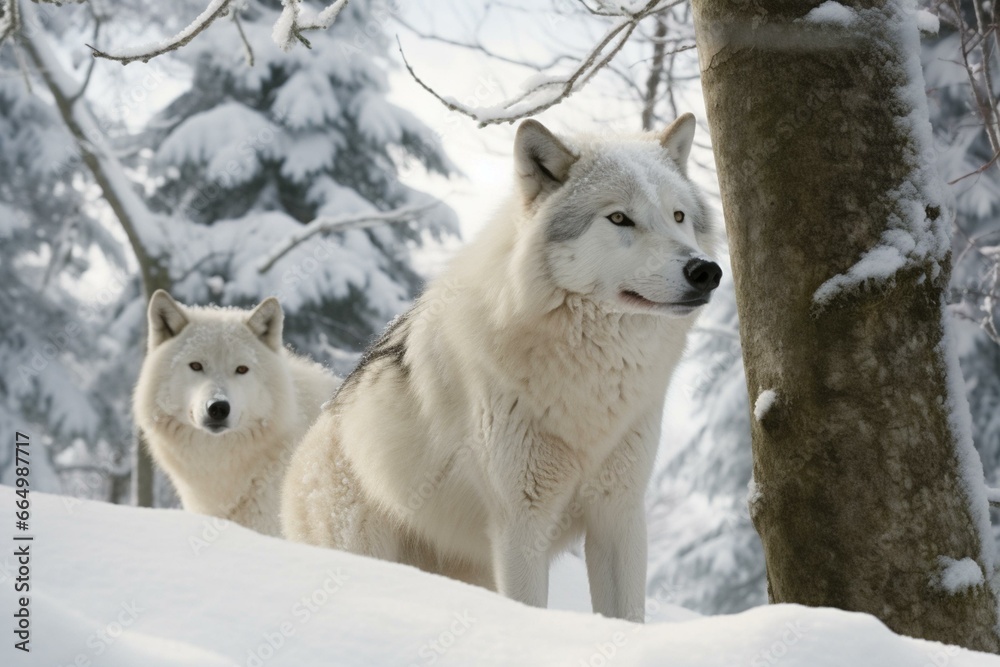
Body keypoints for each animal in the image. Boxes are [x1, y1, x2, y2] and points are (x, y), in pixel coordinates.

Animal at [282, 114, 721, 620]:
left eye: (678, 216)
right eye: (619, 218)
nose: (706, 271)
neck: (591, 379)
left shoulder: (620, 515)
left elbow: (627, 617)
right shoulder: (521, 524)